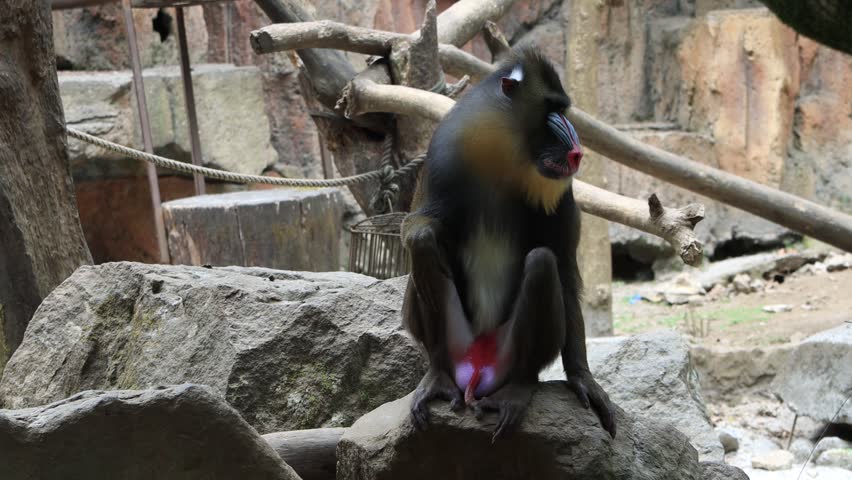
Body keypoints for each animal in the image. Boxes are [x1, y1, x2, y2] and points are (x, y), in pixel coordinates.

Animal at [401, 47, 616, 440]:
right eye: (551, 107)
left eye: (564, 108)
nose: (576, 150)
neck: (504, 155)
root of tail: (476, 369)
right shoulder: (441, 152)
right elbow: (417, 224)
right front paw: (421, 239)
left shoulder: (561, 194)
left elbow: (564, 268)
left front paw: (583, 379)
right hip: (456, 340)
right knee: (424, 263)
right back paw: (438, 375)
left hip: (508, 350)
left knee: (542, 263)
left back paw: (518, 388)